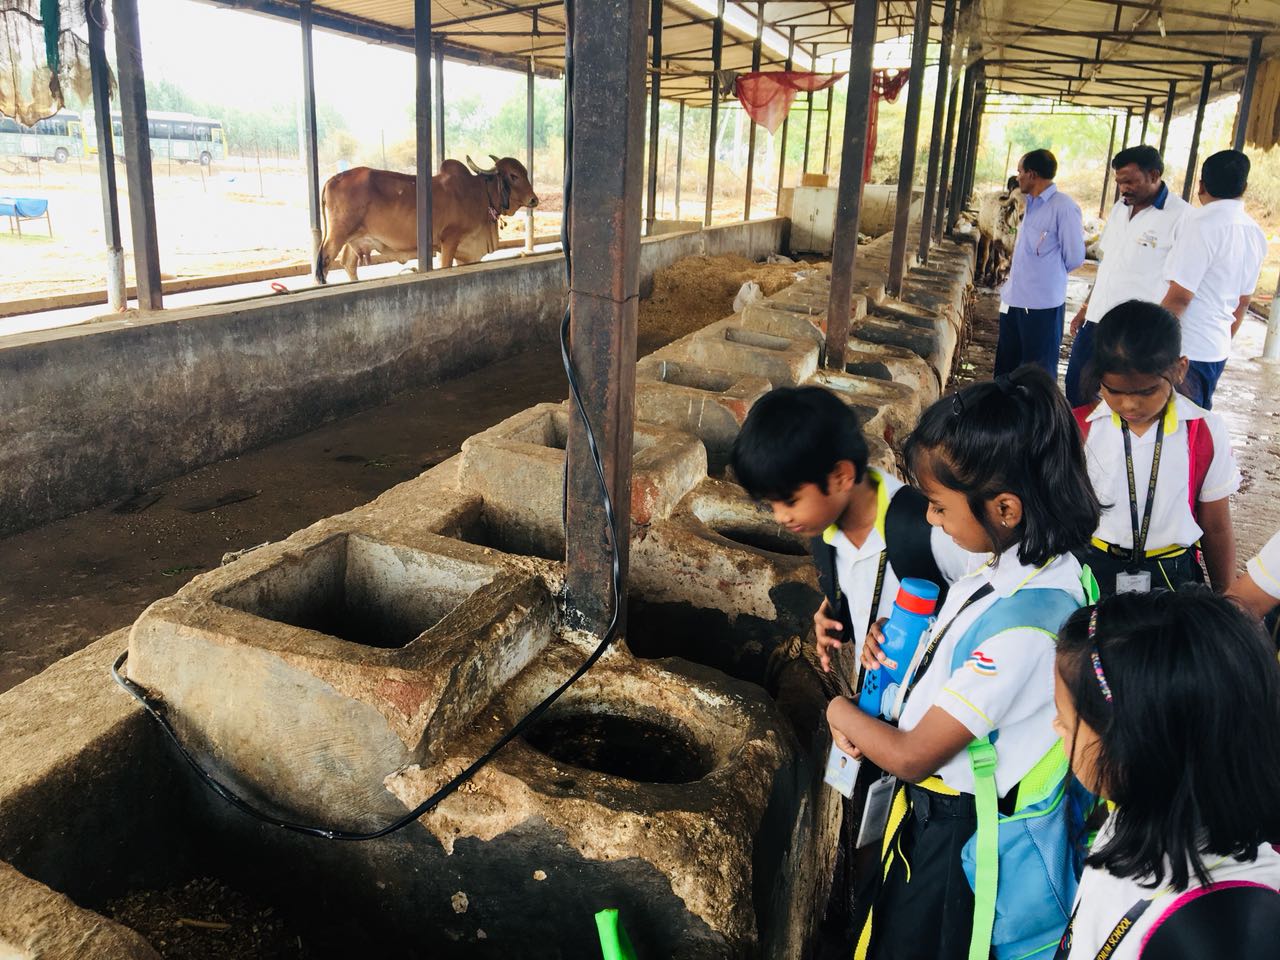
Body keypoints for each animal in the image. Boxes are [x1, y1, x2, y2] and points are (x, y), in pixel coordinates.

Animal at [320, 156, 540, 284]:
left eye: (525, 172)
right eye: (513, 175)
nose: (534, 199)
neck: (478, 192)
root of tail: (332, 179)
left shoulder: (466, 251)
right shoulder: (450, 240)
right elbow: (445, 266)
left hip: (354, 237)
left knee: (348, 263)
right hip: (337, 234)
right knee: (324, 261)